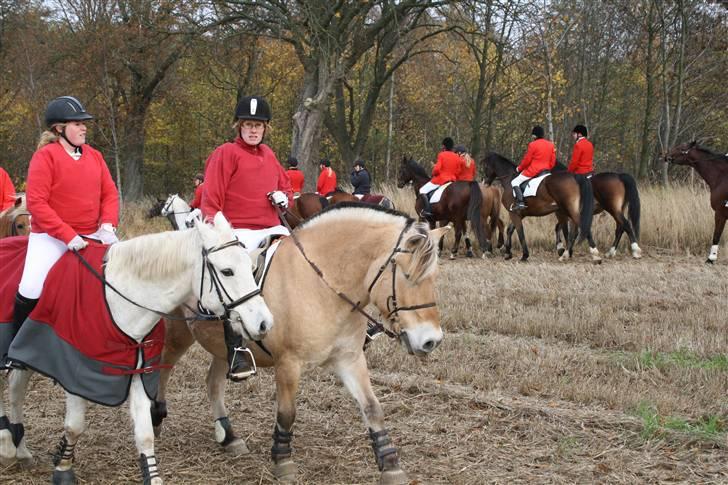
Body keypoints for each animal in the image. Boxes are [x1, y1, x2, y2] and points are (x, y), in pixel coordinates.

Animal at [0, 214, 272, 482]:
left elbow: (145, 434)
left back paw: (20, 449)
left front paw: (152, 475)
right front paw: (63, 468)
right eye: (227, 271)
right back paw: (6, 442)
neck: (118, 299)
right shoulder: (76, 373)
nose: (264, 322)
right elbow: (74, 426)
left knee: (15, 389)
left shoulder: (138, 370)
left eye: (251, 268)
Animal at [151, 202, 446, 482]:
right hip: (178, 334)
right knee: (163, 369)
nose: (431, 340)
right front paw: (283, 460)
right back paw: (156, 417)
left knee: (213, 382)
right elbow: (287, 413)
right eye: (407, 275)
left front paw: (391, 464)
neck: (320, 283)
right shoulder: (288, 363)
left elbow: (372, 408)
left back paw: (229, 436)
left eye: (434, 277)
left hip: (224, 350)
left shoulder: (349, 359)